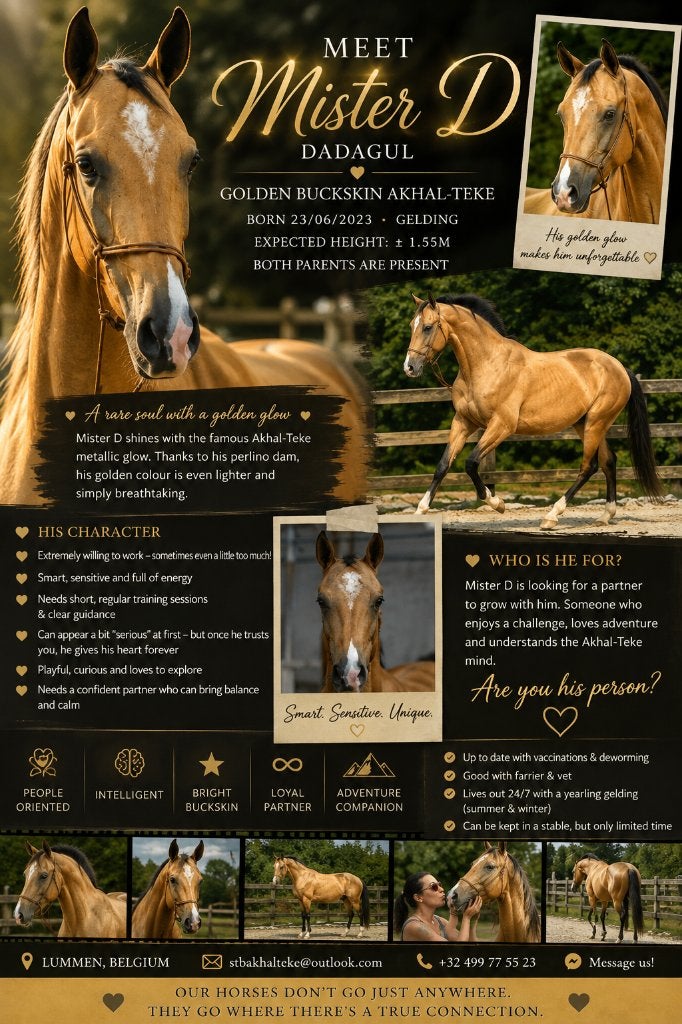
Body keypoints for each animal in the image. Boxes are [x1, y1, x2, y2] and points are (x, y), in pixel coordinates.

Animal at [404, 293, 662, 529]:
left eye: (427, 327)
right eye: (411, 326)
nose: (409, 367)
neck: (487, 365)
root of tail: (620, 368)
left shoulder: (501, 426)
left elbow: (471, 463)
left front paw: (497, 503)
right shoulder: (463, 422)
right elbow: (443, 465)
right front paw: (420, 511)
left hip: (596, 423)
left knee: (589, 467)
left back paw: (551, 517)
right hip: (586, 423)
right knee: (608, 461)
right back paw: (605, 516)